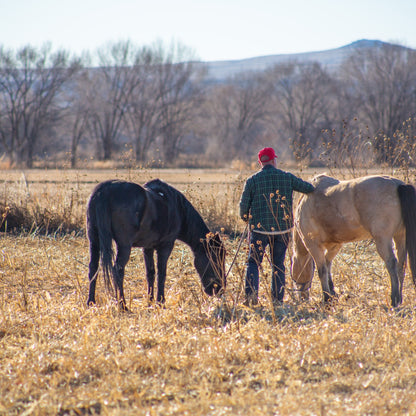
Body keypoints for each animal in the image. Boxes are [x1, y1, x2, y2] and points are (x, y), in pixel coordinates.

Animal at [85, 177, 226, 310]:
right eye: (215, 258)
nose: (220, 288)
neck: (177, 208)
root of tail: (104, 191)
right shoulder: (166, 246)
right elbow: (161, 273)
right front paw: (160, 302)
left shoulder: (147, 247)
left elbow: (151, 273)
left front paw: (150, 301)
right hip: (124, 245)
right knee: (117, 270)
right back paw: (123, 305)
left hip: (94, 240)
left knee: (93, 268)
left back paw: (91, 302)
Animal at [290, 174, 416, 308]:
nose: (302, 298)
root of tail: (399, 185)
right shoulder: (335, 245)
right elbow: (328, 264)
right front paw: (332, 294)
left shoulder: (312, 244)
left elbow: (322, 270)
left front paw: (326, 298)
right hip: (400, 236)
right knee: (401, 265)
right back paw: (400, 298)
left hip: (383, 239)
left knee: (391, 263)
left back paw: (394, 299)